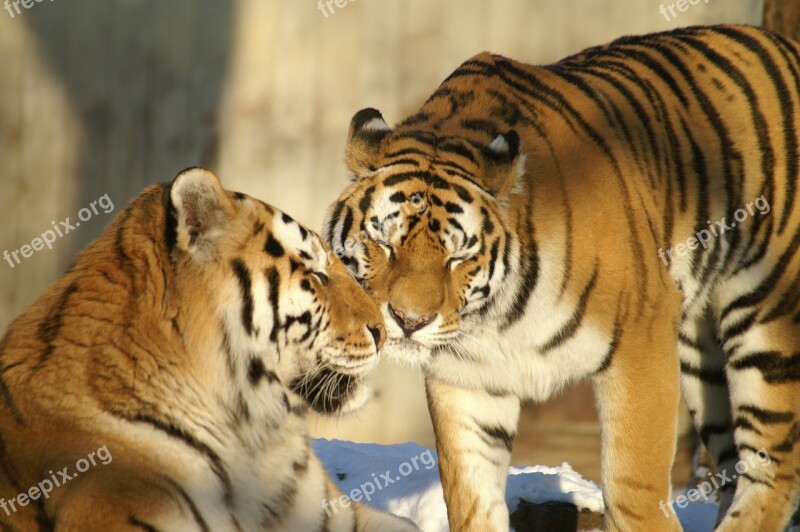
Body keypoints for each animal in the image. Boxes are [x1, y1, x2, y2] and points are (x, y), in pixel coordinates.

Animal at [324, 23, 800, 532]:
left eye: (458, 257)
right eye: (384, 243)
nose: (409, 321)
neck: (496, 318)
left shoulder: (642, 338)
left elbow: (633, 486)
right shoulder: (467, 378)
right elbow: (471, 497)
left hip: (769, 316)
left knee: (773, 469)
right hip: (701, 355)